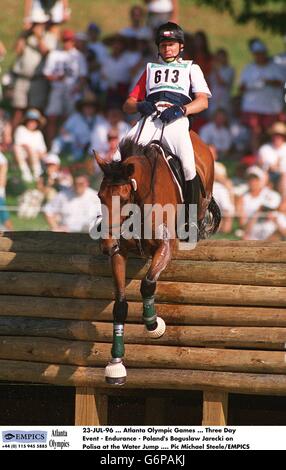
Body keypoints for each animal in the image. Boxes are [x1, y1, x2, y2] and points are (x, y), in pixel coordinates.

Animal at [95, 129, 220, 386]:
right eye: (100, 196)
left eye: (123, 199)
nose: (106, 245)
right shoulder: (119, 254)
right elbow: (120, 304)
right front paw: (116, 365)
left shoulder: (165, 246)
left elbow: (147, 284)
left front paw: (154, 324)